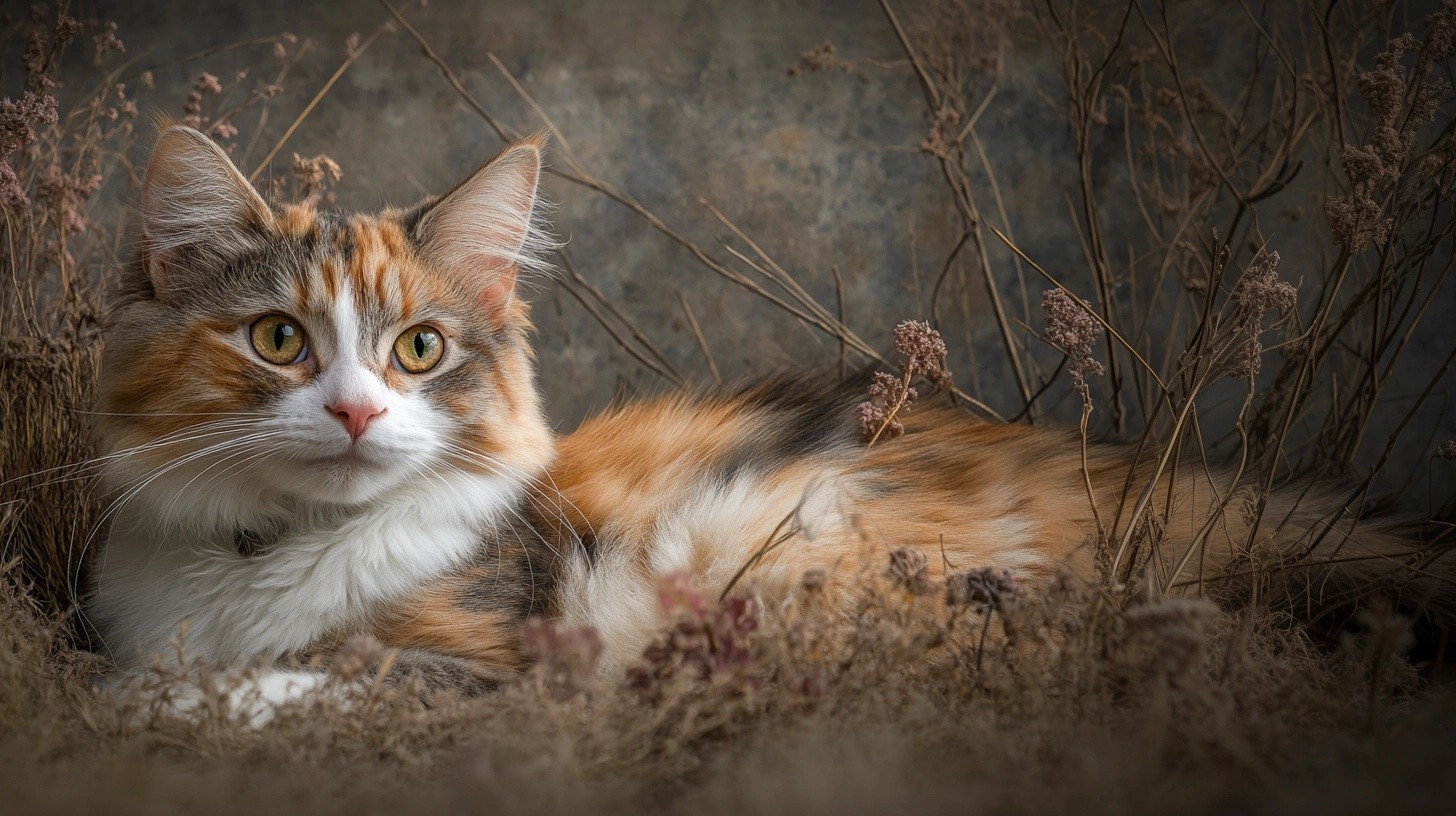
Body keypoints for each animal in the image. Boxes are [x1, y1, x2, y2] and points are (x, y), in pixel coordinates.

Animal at [91, 124, 1444, 711]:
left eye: (419, 350)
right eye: (279, 340)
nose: (359, 411)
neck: (271, 555)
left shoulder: (494, 666)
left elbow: (267, 687)